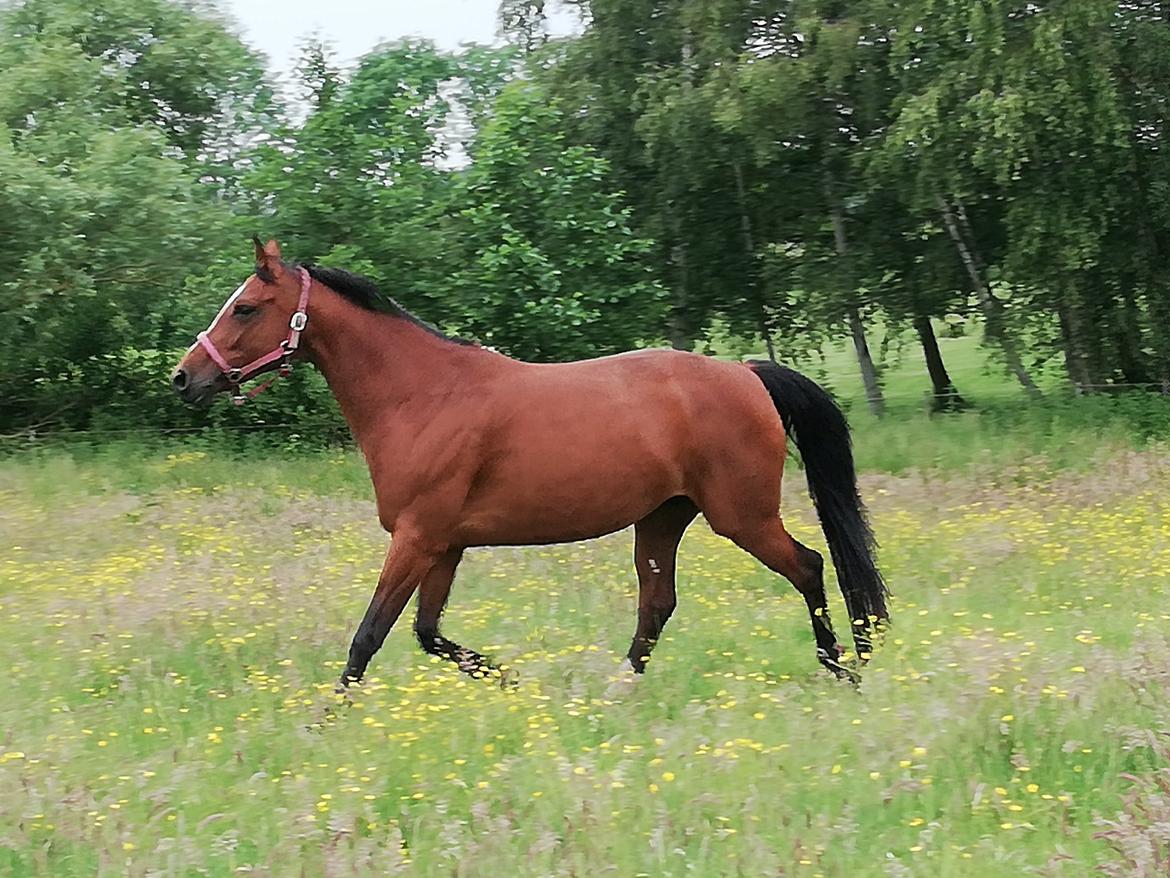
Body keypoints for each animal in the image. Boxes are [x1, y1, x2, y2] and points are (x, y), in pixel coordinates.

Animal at [170, 238, 884, 688]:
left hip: (741, 516)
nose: (185, 378)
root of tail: (745, 372)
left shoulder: (416, 537)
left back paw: (842, 667)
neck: (422, 395)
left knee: (808, 567)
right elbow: (428, 634)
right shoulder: (445, 545)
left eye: (246, 308)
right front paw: (513, 680)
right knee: (657, 605)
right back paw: (616, 693)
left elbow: (368, 637)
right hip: (661, 518)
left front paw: (327, 722)